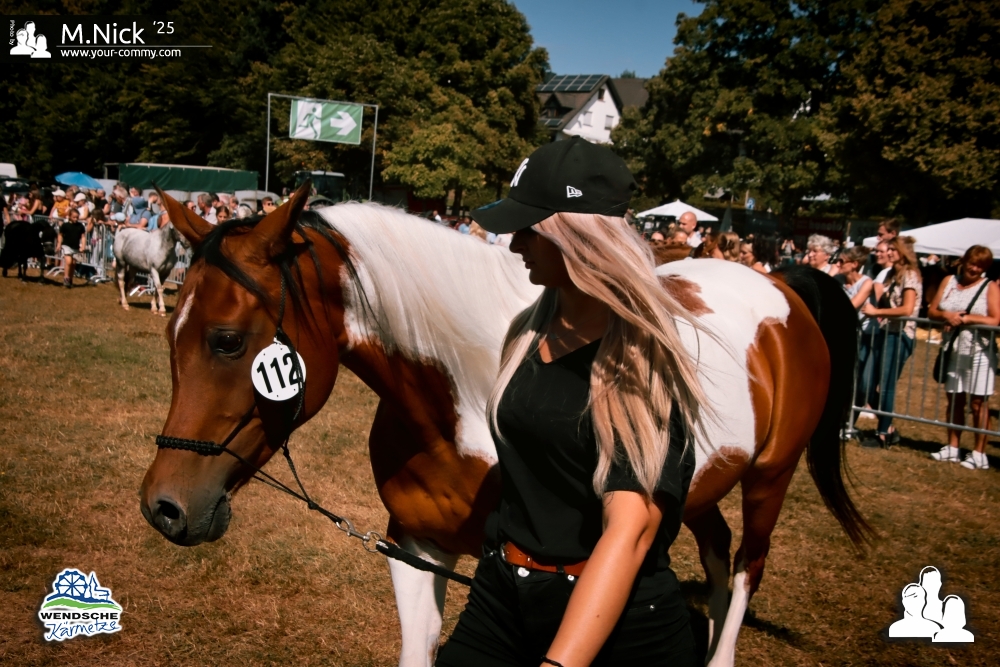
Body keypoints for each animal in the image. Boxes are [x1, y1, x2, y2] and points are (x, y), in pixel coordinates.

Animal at [140, 185, 871, 667]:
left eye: (229, 340)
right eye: (172, 334)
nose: (164, 506)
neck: (462, 398)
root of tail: (781, 283)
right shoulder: (417, 546)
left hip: (770, 477)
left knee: (748, 565)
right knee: (717, 548)